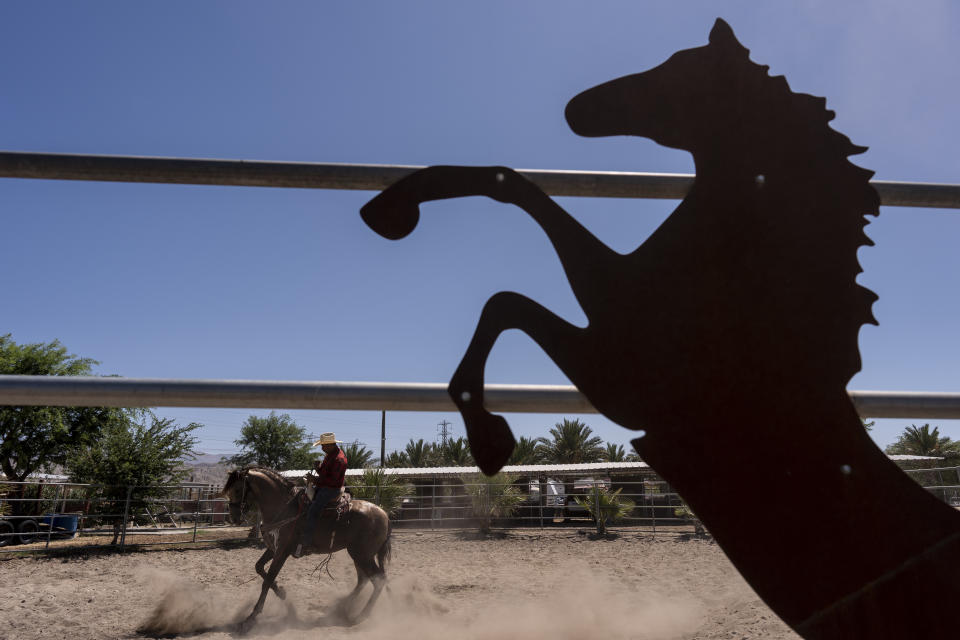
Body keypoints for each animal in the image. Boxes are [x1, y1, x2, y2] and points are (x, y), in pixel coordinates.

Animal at [219, 468, 392, 632]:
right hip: (359, 555)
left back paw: (362, 615)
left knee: (378, 579)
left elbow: (267, 580)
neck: (283, 507)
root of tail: (384, 513)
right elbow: (259, 568)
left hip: (362, 555)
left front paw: (250, 619)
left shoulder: (282, 551)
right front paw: (282, 593)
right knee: (364, 579)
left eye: (237, 490)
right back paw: (340, 607)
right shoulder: (274, 548)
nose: (232, 518)